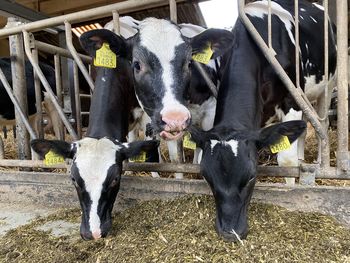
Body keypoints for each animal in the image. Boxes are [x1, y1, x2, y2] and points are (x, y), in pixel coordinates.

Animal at [189, 0, 336, 242]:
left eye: (251, 177)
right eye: (207, 177)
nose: (229, 232)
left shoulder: (291, 99)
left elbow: (286, 161)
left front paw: (292, 190)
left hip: (326, 86)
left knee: (320, 124)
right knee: (302, 130)